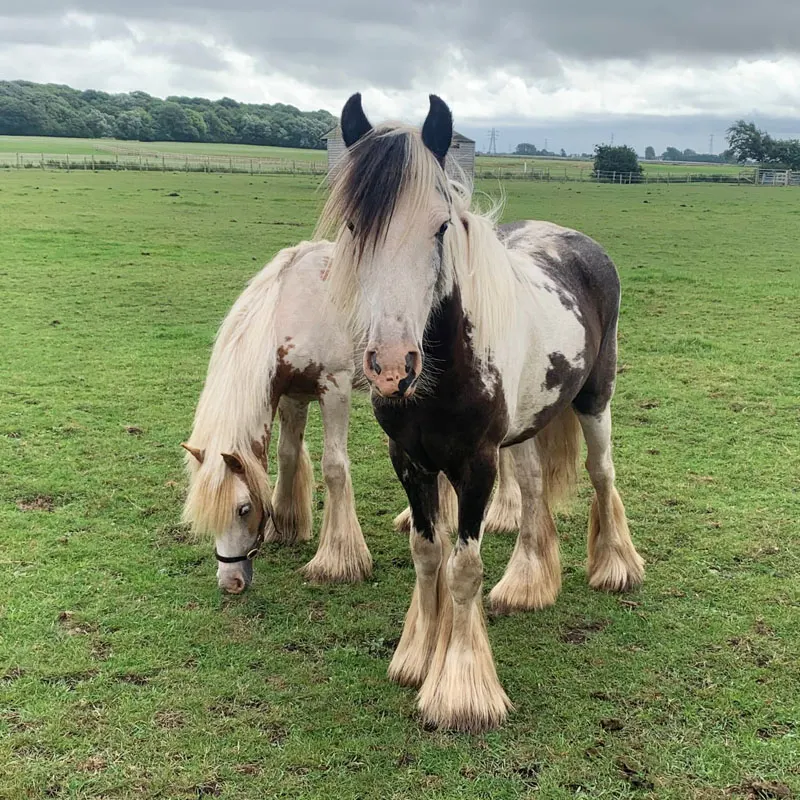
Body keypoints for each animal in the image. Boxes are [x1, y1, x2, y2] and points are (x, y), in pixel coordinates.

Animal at [180, 240, 520, 594]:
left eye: (243, 509)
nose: (230, 582)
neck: (292, 305)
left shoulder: (334, 389)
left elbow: (334, 468)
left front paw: (338, 561)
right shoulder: (292, 396)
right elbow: (287, 455)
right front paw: (285, 527)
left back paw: (506, 515)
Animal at [316, 93, 645, 733]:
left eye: (440, 226)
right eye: (354, 226)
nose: (391, 365)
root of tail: (573, 240)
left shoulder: (477, 466)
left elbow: (464, 567)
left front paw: (461, 689)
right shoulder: (410, 461)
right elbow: (428, 554)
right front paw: (419, 655)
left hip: (595, 399)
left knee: (601, 473)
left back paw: (616, 566)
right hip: (528, 426)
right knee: (537, 490)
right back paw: (529, 582)